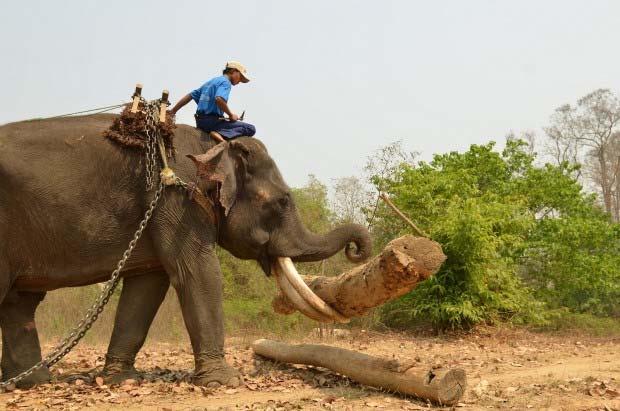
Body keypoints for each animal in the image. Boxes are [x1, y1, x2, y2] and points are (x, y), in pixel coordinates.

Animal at [0, 115, 370, 390]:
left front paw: (122, 379)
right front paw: (225, 382)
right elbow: (197, 271)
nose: (356, 249)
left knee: (21, 303)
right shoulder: (179, 197)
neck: (215, 145)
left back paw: (34, 381)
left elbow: (148, 286)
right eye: (282, 201)